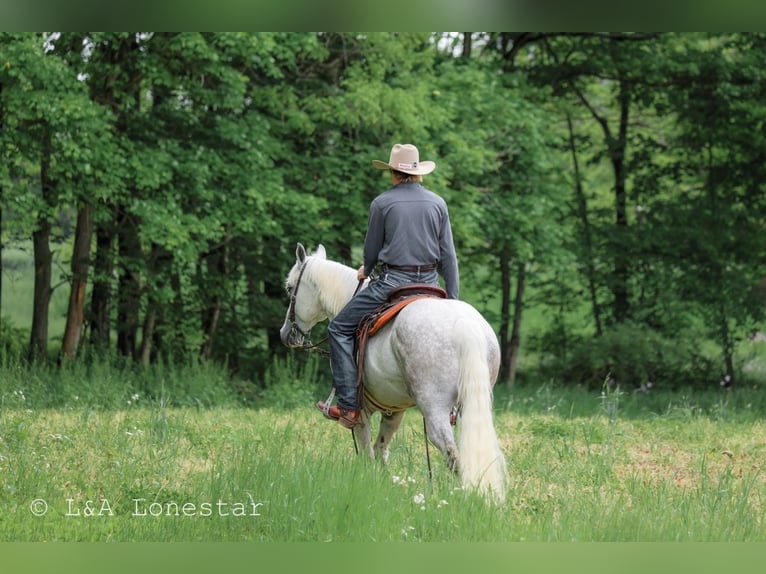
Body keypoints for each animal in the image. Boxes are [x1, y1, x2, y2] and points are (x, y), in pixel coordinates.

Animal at [279, 243, 508, 502]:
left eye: (289, 288)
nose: (286, 333)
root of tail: (464, 325)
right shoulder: (393, 410)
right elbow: (381, 450)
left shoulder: (362, 410)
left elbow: (367, 453)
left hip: (435, 411)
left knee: (453, 455)